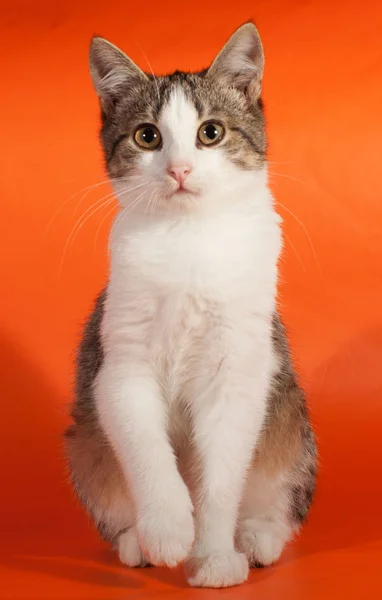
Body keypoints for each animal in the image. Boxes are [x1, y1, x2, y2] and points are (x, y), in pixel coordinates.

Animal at [65, 22, 316, 584]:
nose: (179, 169)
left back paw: (256, 537)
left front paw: (215, 556)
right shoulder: (119, 364)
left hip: (291, 421)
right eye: (147, 136)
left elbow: (220, 477)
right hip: (84, 443)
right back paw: (135, 541)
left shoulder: (240, 369)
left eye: (211, 132)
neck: (187, 239)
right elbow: (145, 449)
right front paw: (167, 529)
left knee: (279, 495)